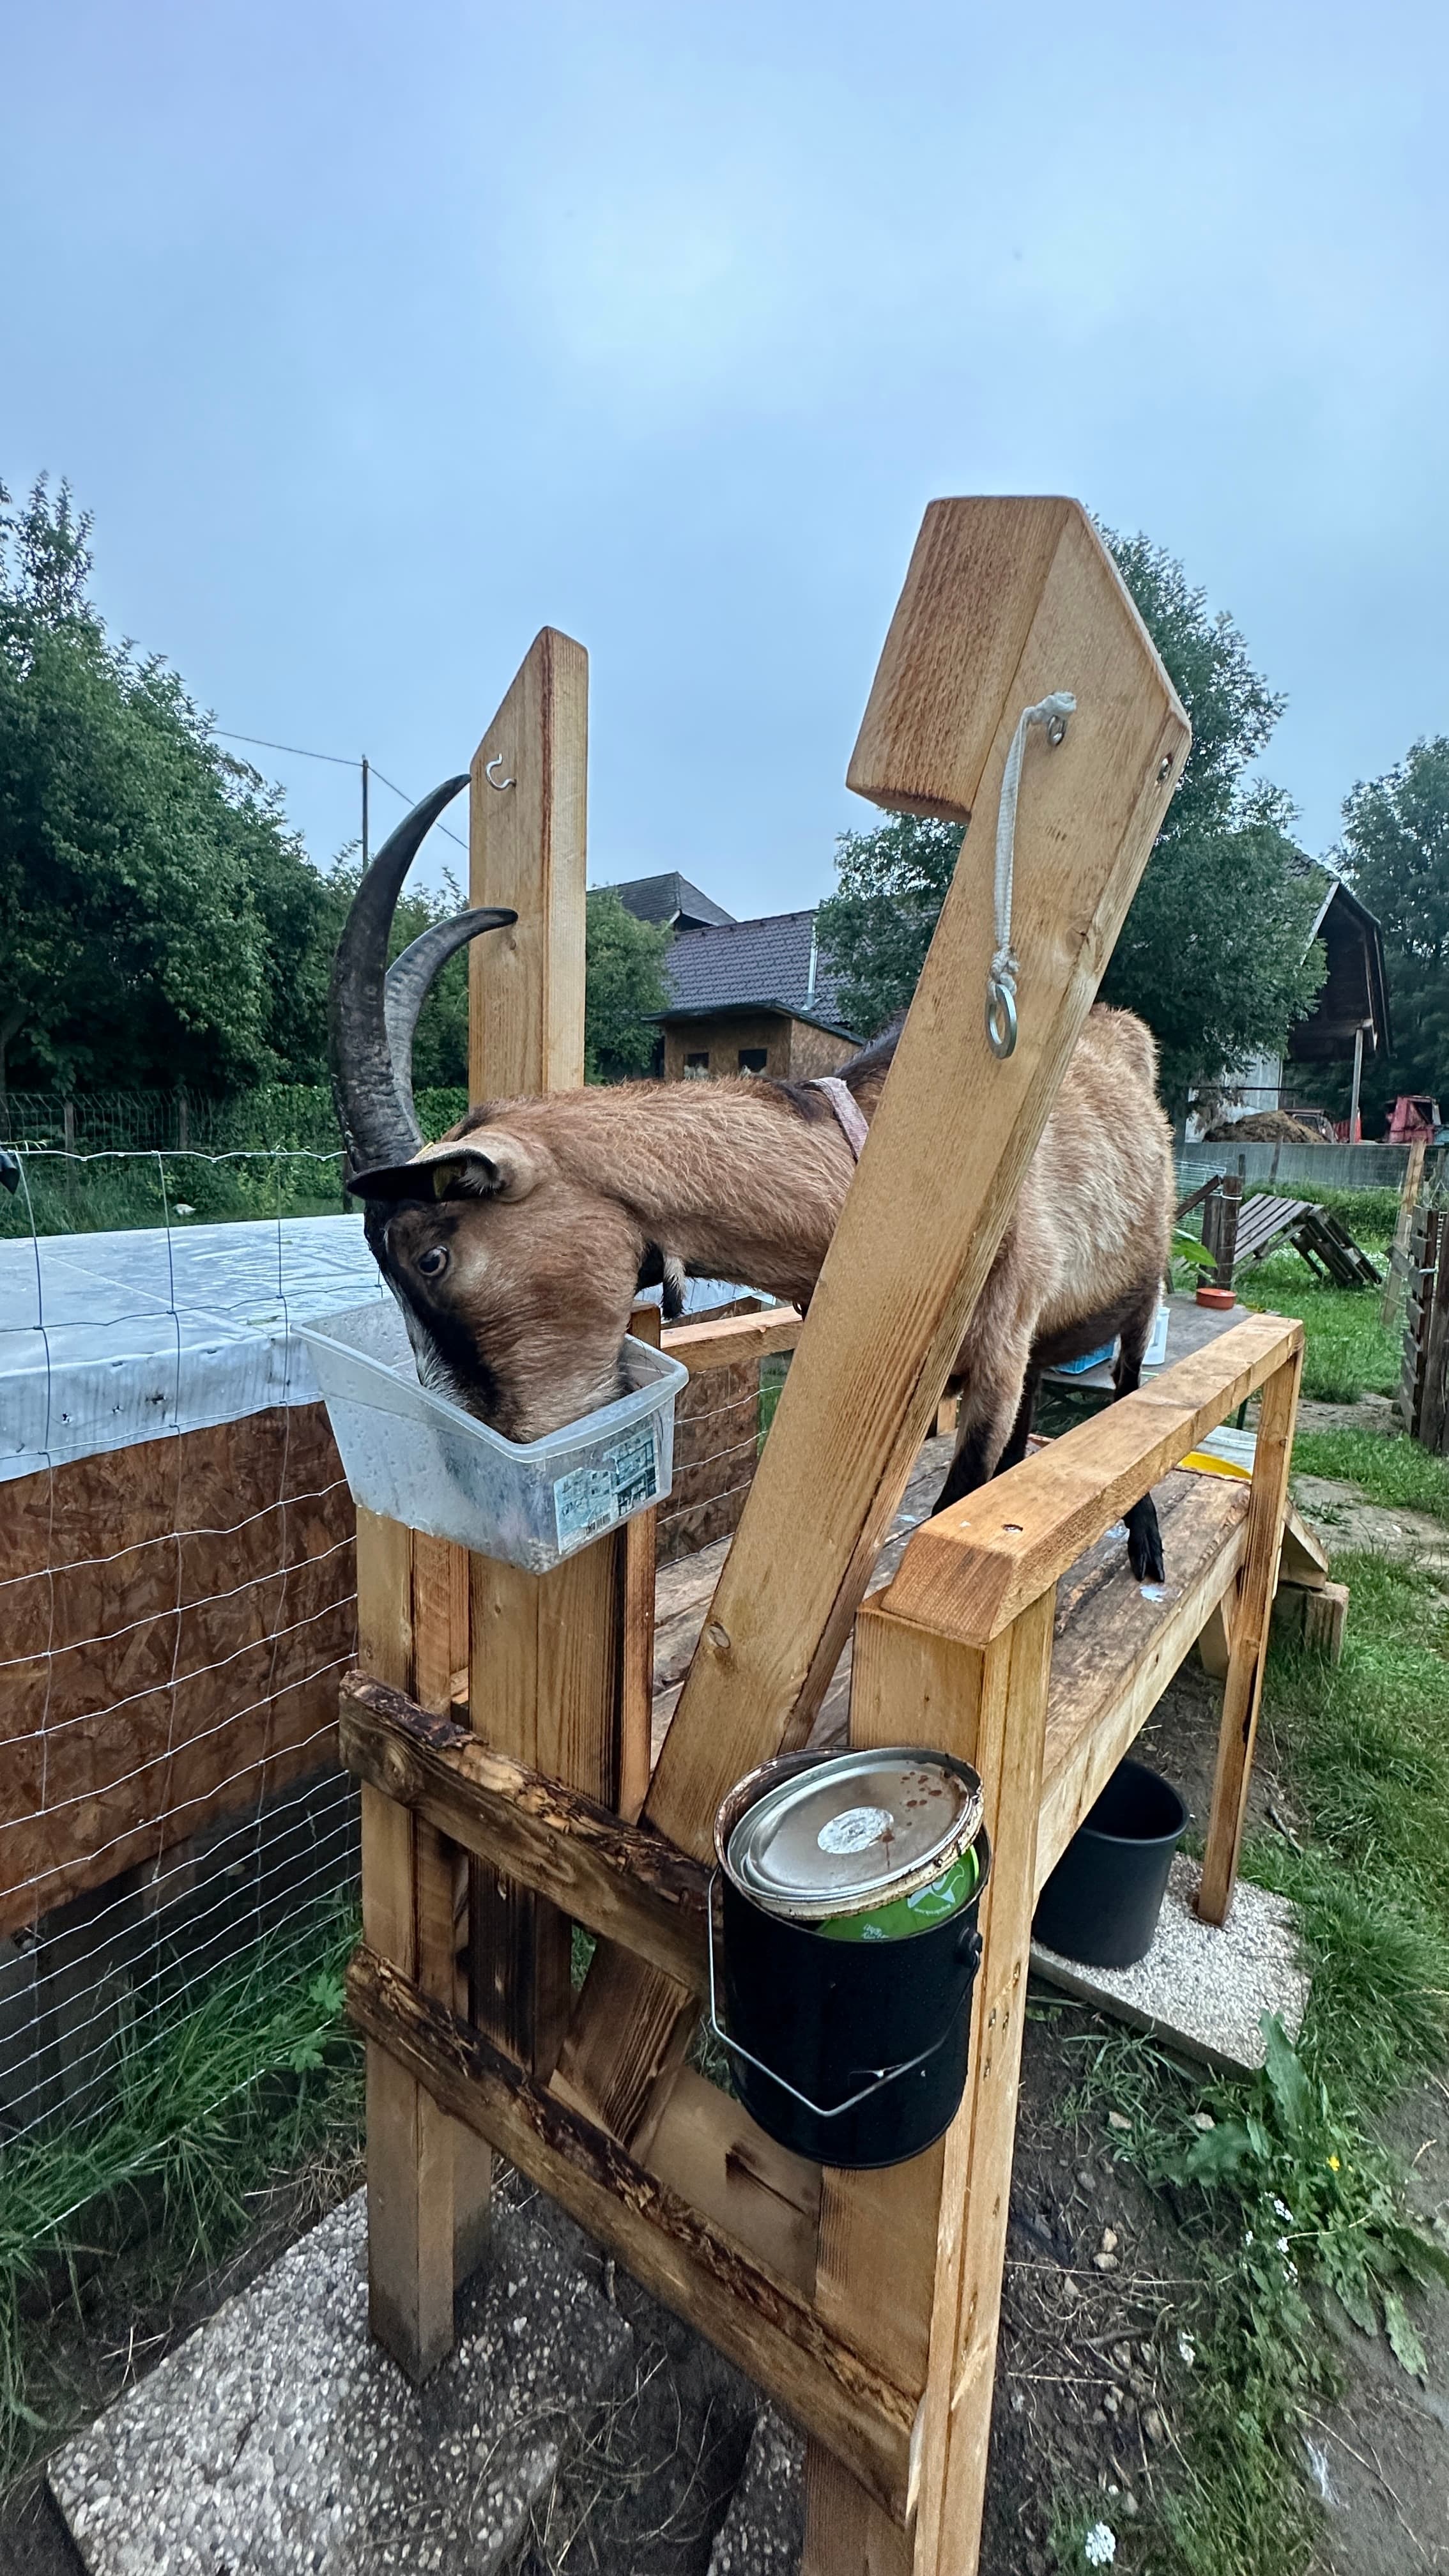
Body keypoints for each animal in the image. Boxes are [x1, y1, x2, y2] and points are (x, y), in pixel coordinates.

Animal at [331, 782, 1175, 1578]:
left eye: (431, 1258)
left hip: (1146, 1281)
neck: (871, 1165)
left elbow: (960, 1500)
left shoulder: (999, 1347)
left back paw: (1146, 1540)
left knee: (1132, 1382)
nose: (481, 1496)